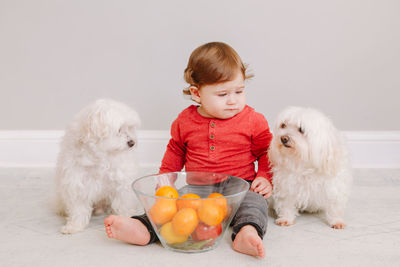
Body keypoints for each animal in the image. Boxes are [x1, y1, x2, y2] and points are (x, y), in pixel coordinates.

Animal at [55, 99, 143, 234]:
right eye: (119, 129)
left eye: (129, 128)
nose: (132, 142)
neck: (101, 156)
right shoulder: (77, 182)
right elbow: (78, 209)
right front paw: (74, 226)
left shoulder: (121, 183)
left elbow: (123, 203)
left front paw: (127, 220)